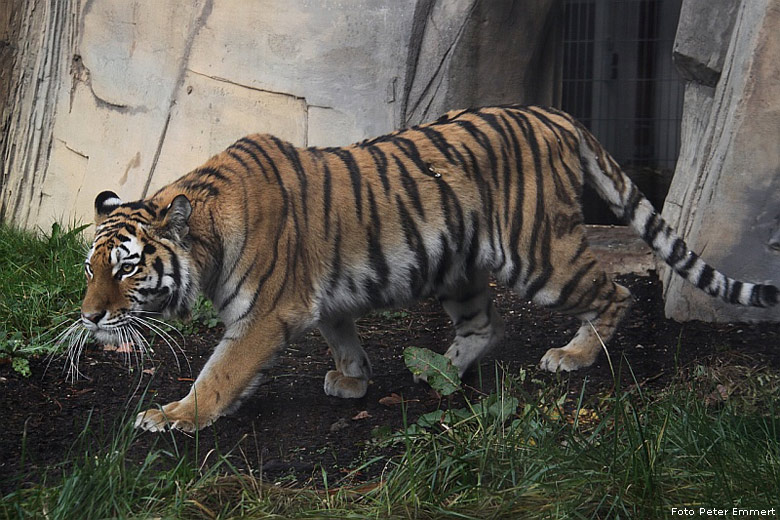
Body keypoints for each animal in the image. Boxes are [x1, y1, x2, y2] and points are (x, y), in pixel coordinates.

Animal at [77, 104, 772, 430]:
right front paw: (352, 379)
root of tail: (552, 112)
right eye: (90, 269)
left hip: (538, 255)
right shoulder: (318, 299)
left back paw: (573, 356)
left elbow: (220, 371)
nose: (87, 318)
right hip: (460, 267)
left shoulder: (265, 314)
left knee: (615, 292)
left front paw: (175, 417)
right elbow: (340, 334)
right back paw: (438, 372)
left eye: (127, 269)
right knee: (487, 326)